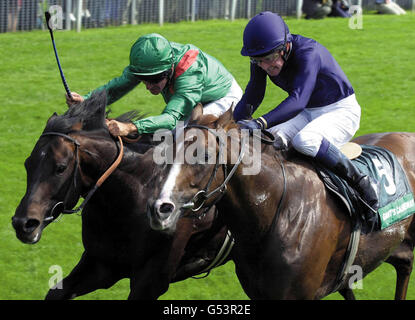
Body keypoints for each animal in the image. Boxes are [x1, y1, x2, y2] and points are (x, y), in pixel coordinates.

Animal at [11, 92, 232, 300]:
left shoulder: (151, 280)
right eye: (27, 163)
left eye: (61, 168)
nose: (23, 224)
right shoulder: (102, 263)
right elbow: (56, 293)